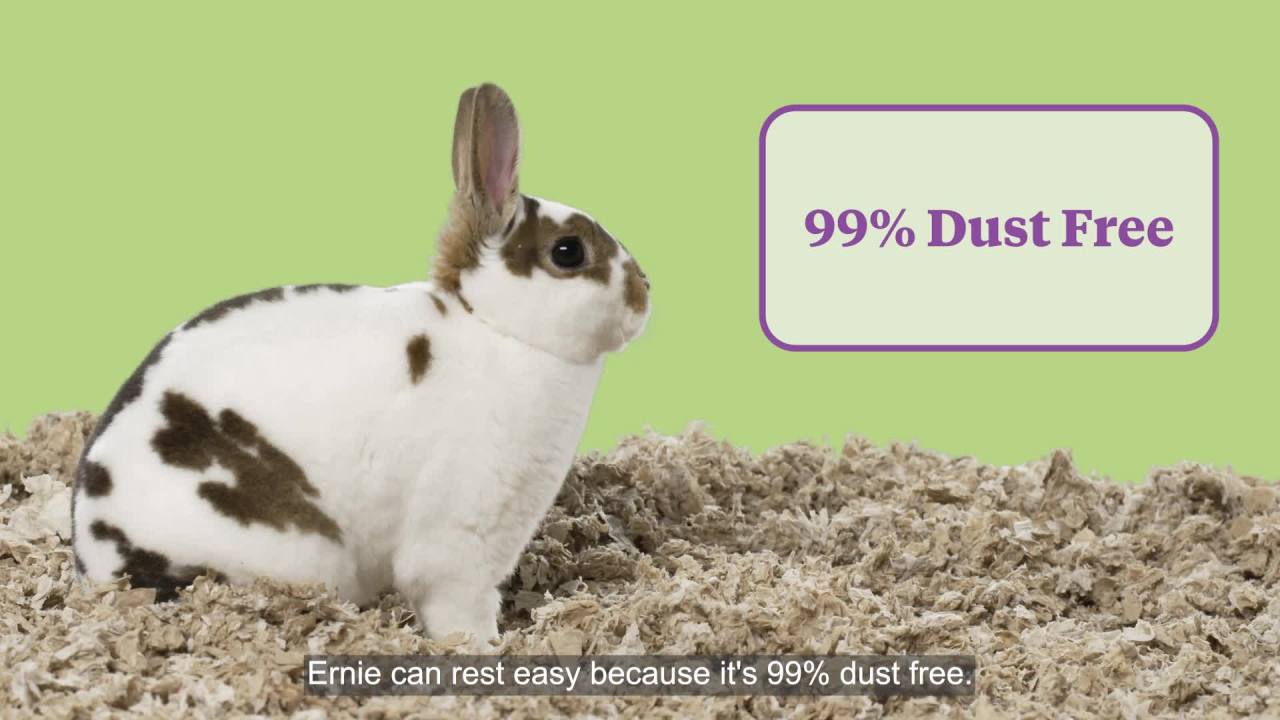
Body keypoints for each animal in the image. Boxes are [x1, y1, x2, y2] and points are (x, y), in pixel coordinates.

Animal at [70, 83, 650, 648]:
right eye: (568, 251)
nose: (645, 294)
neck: (494, 327)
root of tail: (96, 564)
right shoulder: (457, 540)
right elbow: (458, 607)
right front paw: (485, 649)